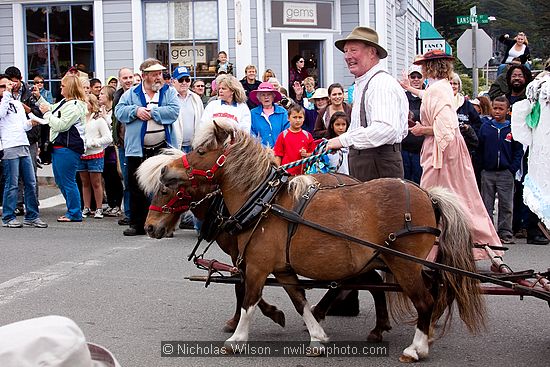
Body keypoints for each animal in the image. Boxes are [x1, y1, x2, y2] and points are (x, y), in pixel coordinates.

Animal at [156, 121, 488, 366]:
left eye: (201, 150)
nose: (164, 170)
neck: (263, 203)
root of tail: (429, 195)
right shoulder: (283, 269)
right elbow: (299, 301)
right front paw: (317, 337)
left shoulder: (257, 267)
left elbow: (249, 299)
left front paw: (237, 339)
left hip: (405, 265)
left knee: (426, 300)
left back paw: (416, 347)